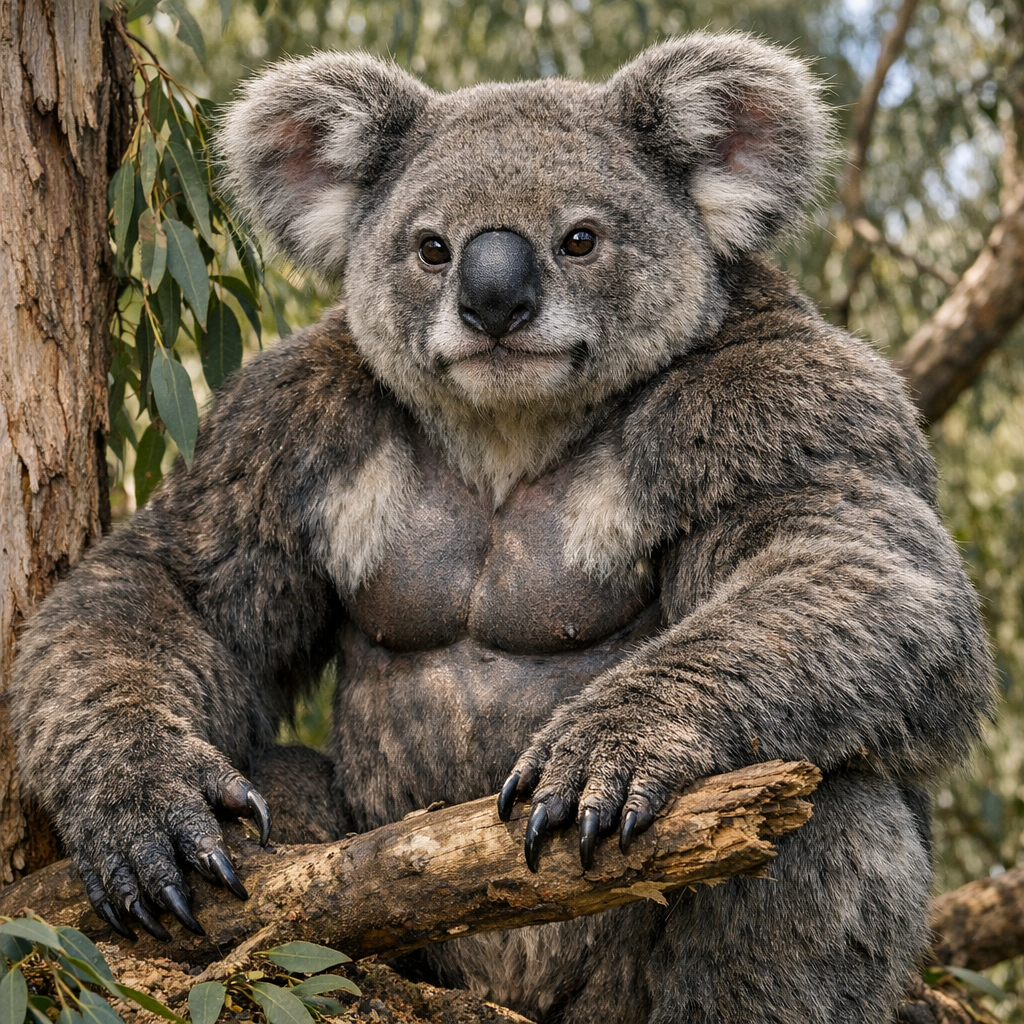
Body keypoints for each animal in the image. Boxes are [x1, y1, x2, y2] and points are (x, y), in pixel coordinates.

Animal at [11, 32, 994, 1024]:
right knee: (277, 784)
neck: (507, 433)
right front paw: (148, 811)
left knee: (831, 815)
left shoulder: (785, 407)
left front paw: (610, 751)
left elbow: (867, 568)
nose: (494, 304)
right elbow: (174, 592)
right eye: (432, 248)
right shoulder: (281, 432)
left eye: (580, 239)